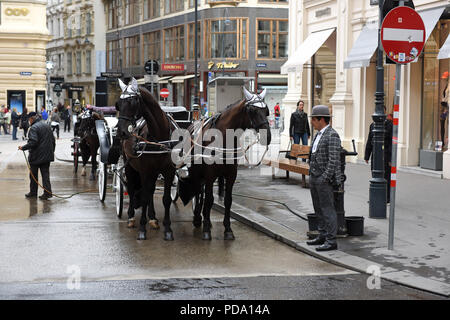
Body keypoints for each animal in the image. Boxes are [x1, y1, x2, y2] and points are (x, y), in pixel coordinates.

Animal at [115, 78, 177, 240]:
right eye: (118, 104)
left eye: (132, 102)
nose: (121, 132)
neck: (160, 138)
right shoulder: (144, 171)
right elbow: (142, 197)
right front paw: (142, 229)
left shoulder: (169, 171)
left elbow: (166, 199)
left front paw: (168, 229)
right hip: (129, 166)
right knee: (132, 189)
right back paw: (131, 217)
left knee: (150, 191)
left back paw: (153, 218)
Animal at [179, 87, 270, 240]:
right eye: (252, 111)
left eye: (266, 110)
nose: (267, 136)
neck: (223, 137)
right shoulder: (210, 174)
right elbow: (209, 199)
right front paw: (206, 230)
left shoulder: (231, 174)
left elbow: (228, 200)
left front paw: (227, 229)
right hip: (196, 171)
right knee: (198, 191)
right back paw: (198, 217)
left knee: (200, 191)